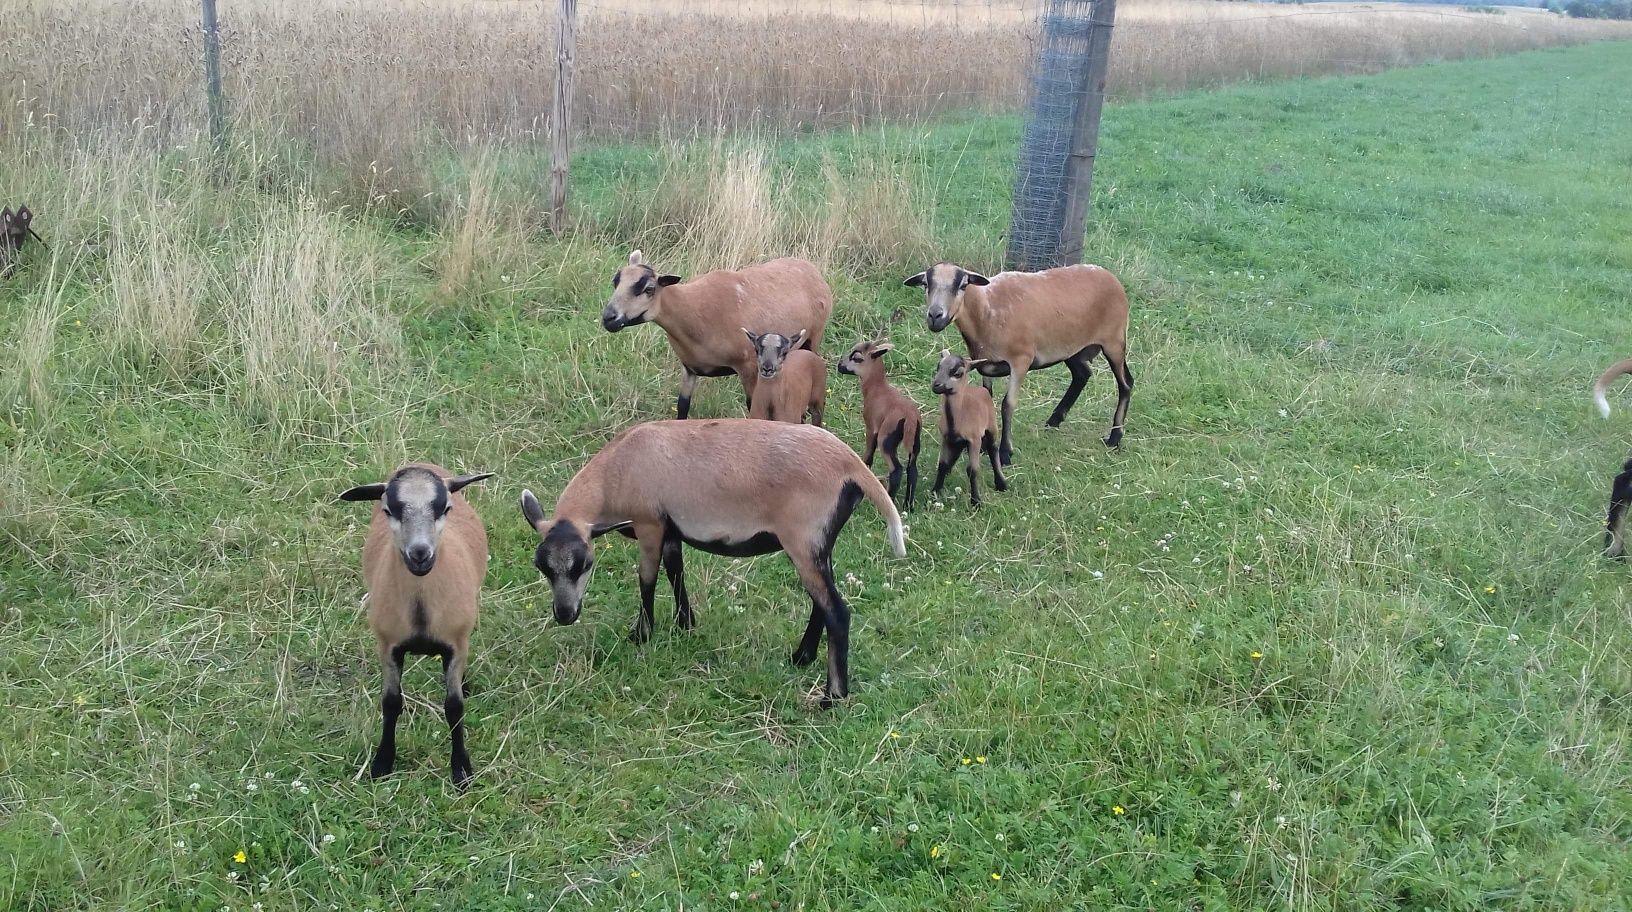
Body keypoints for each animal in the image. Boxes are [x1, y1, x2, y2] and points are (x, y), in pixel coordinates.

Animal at [339, 466, 492, 789]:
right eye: (389, 510)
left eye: (445, 508)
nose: (420, 553)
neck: (421, 609)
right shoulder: (388, 646)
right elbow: (390, 703)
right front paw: (382, 764)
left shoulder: (455, 645)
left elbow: (454, 707)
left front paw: (461, 771)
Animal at [515, 420, 907, 708]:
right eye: (542, 567)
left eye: (584, 564)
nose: (565, 614)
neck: (617, 468)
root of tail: (851, 464)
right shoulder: (671, 529)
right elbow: (675, 570)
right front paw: (685, 624)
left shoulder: (649, 523)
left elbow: (647, 578)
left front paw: (641, 635)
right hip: (818, 544)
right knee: (821, 604)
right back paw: (801, 657)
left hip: (803, 539)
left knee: (836, 611)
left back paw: (832, 697)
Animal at [603, 249, 835, 420]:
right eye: (615, 281)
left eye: (649, 289)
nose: (608, 318)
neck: (693, 311)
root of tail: (813, 270)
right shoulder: (689, 368)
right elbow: (682, 407)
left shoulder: (748, 367)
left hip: (813, 338)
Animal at [907, 262, 1135, 463]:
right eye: (926, 284)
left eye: (963, 285)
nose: (935, 316)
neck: (986, 310)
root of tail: (1109, 275)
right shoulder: (984, 363)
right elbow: (987, 397)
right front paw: (983, 445)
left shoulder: (1021, 360)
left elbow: (1008, 405)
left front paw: (1005, 453)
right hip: (1072, 348)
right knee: (1082, 375)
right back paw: (1054, 421)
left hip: (1114, 342)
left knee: (1125, 384)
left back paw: (1115, 438)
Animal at [933, 349, 1005, 509]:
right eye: (938, 367)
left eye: (958, 373)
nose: (936, 385)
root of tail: (981, 389)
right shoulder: (947, 438)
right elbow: (942, 464)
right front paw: (935, 492)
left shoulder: (974, 440)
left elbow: (972, 470)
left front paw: (976, 501)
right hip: (959, 442)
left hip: (991, 427)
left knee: (993, 449)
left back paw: (1001, 484)